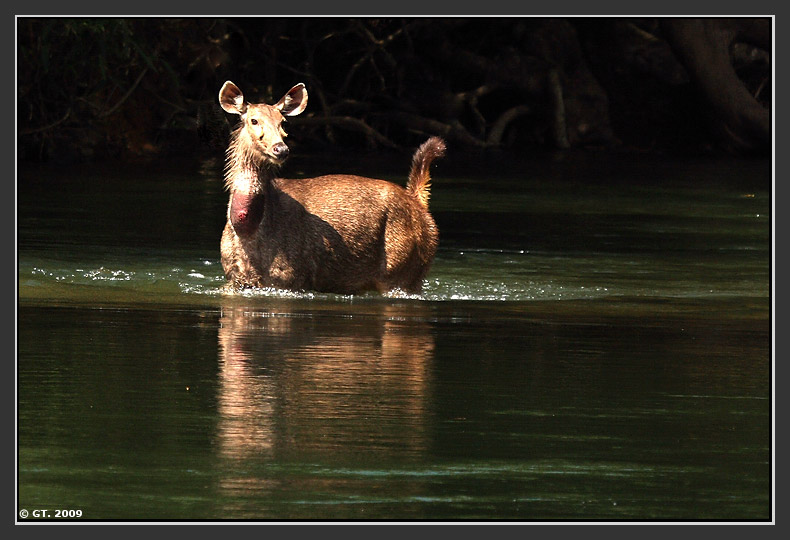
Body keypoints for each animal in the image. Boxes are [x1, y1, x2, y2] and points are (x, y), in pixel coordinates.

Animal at [220, 80, 448, 296]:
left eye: (282, 122)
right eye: (254, 120)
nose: (280, 149)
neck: (248, 229)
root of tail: (418, 202)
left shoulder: (290, 277)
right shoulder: (235, 278)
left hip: (404, 271)